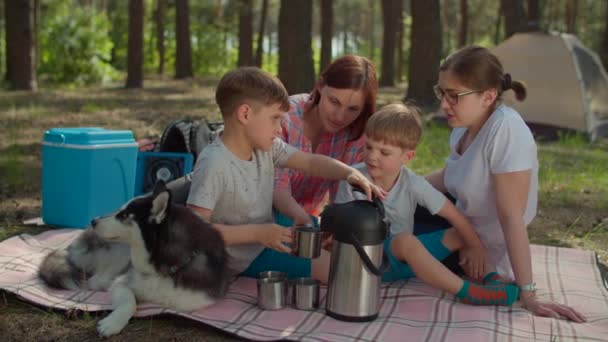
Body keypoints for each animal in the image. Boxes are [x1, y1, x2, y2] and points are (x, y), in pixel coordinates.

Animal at [38, 182, 232, 336]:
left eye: (124, 215)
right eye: (119, 210)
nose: (93, 220)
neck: (165, 268)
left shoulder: (193, 301)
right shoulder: (122, 283)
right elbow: (129, 302)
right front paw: (113, 323)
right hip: (119, 252)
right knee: (95, 280)